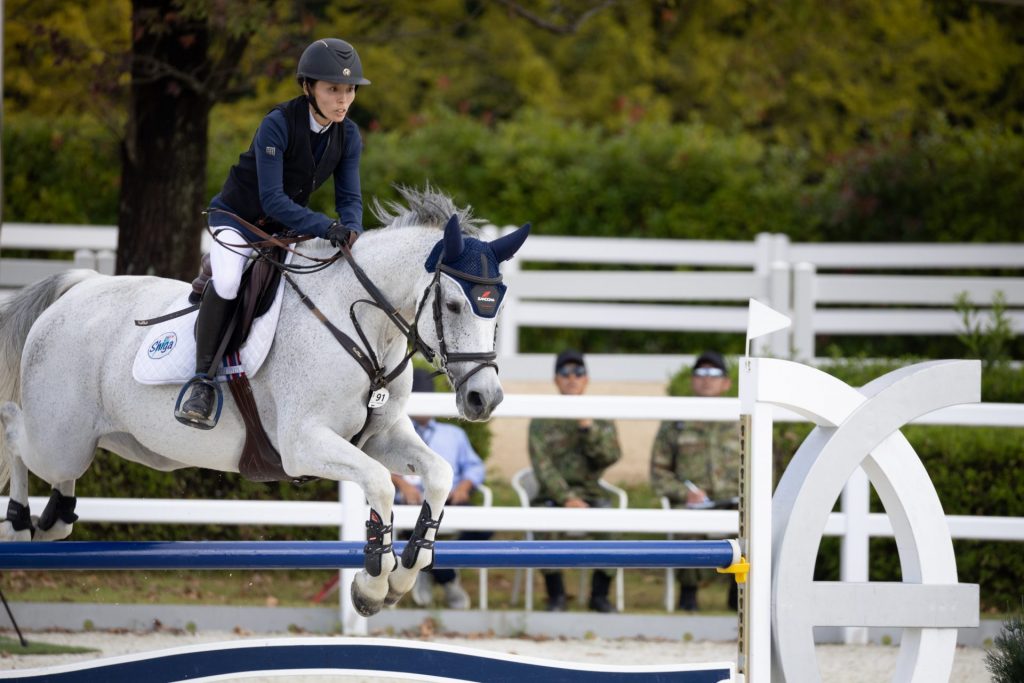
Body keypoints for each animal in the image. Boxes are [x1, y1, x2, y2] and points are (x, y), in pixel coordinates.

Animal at [0, 188, 528, 618]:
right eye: (454, 305)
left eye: (498, 305)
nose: (483, 398)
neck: (361, 326)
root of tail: (79, 286)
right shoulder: (303, 444)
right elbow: (380, 484)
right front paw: (372, 588)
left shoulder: (379, 437)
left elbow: (439, 475)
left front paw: (404, 572)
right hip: (59, 440)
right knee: (14, 430)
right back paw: (19, 521)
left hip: (113, 443)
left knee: (56, 486)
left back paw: (54, 517)